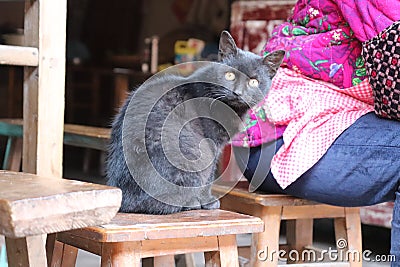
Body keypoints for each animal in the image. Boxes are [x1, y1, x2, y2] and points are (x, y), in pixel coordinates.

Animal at [106, 30, 284, 216]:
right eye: (230, 75)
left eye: (253, 82)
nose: (238, 92)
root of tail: (124, 201)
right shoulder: (212, 144)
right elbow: (210, 176)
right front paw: (209, 201)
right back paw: (192, 202)